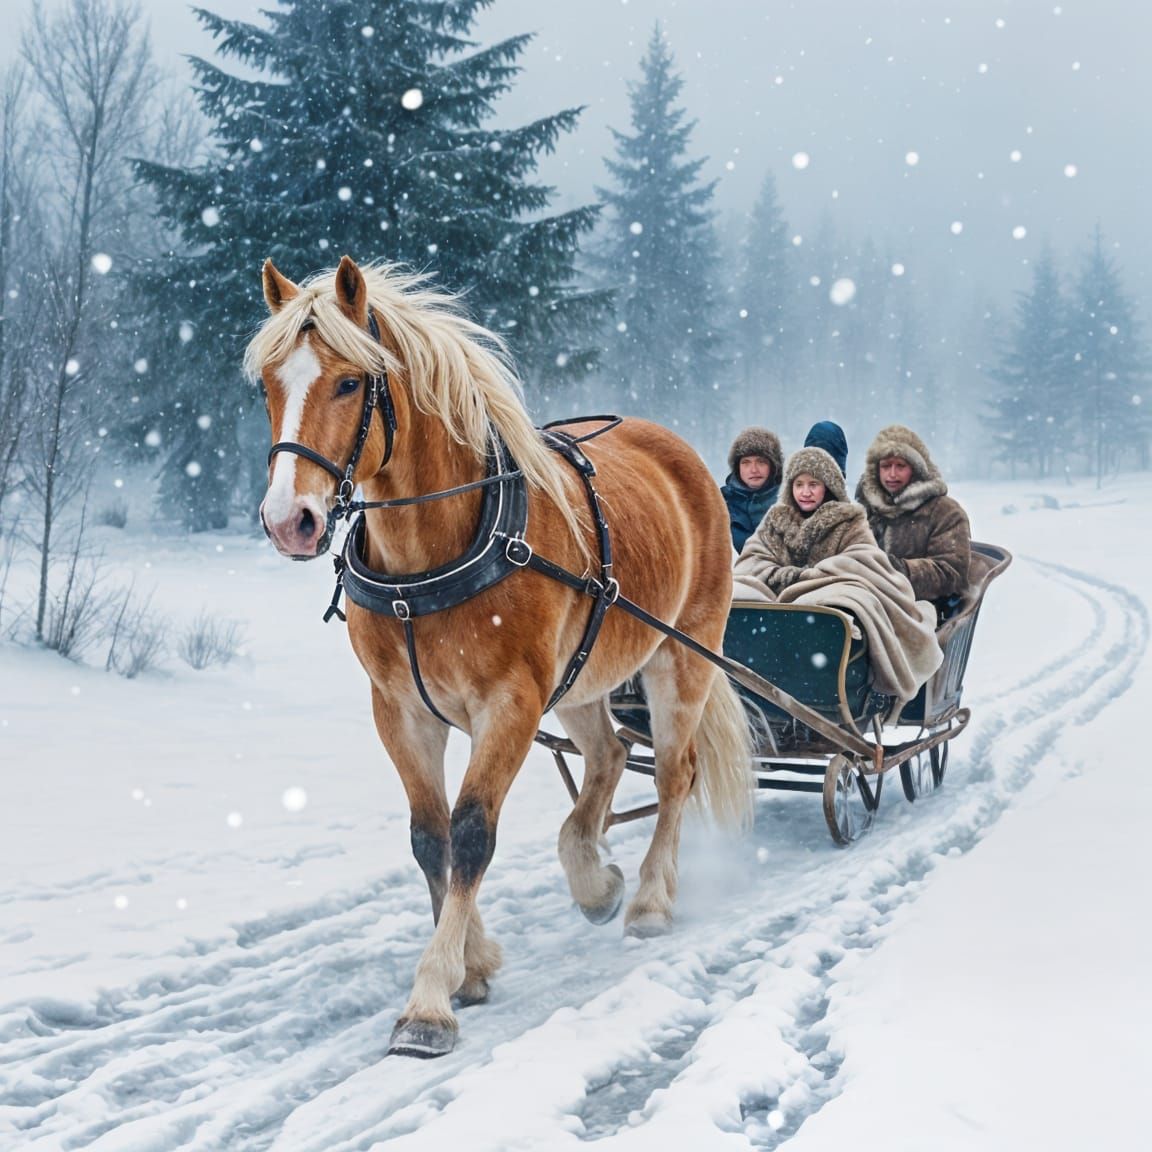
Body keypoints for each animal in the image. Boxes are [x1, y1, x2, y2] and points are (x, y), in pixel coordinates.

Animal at [249, 255, 754, 1058]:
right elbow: (430, 839)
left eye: (350, 382)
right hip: (583, 676)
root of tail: (680, 453)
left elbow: (471, 832)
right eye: (268, 382)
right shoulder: (400, 710)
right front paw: (474, 964)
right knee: (610, 755)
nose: (287, 519)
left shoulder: (510, 703)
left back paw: (648, 898)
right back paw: (591, 877)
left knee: (675, 774)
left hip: (682, 655)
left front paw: (429, 1001)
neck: (427, 559)